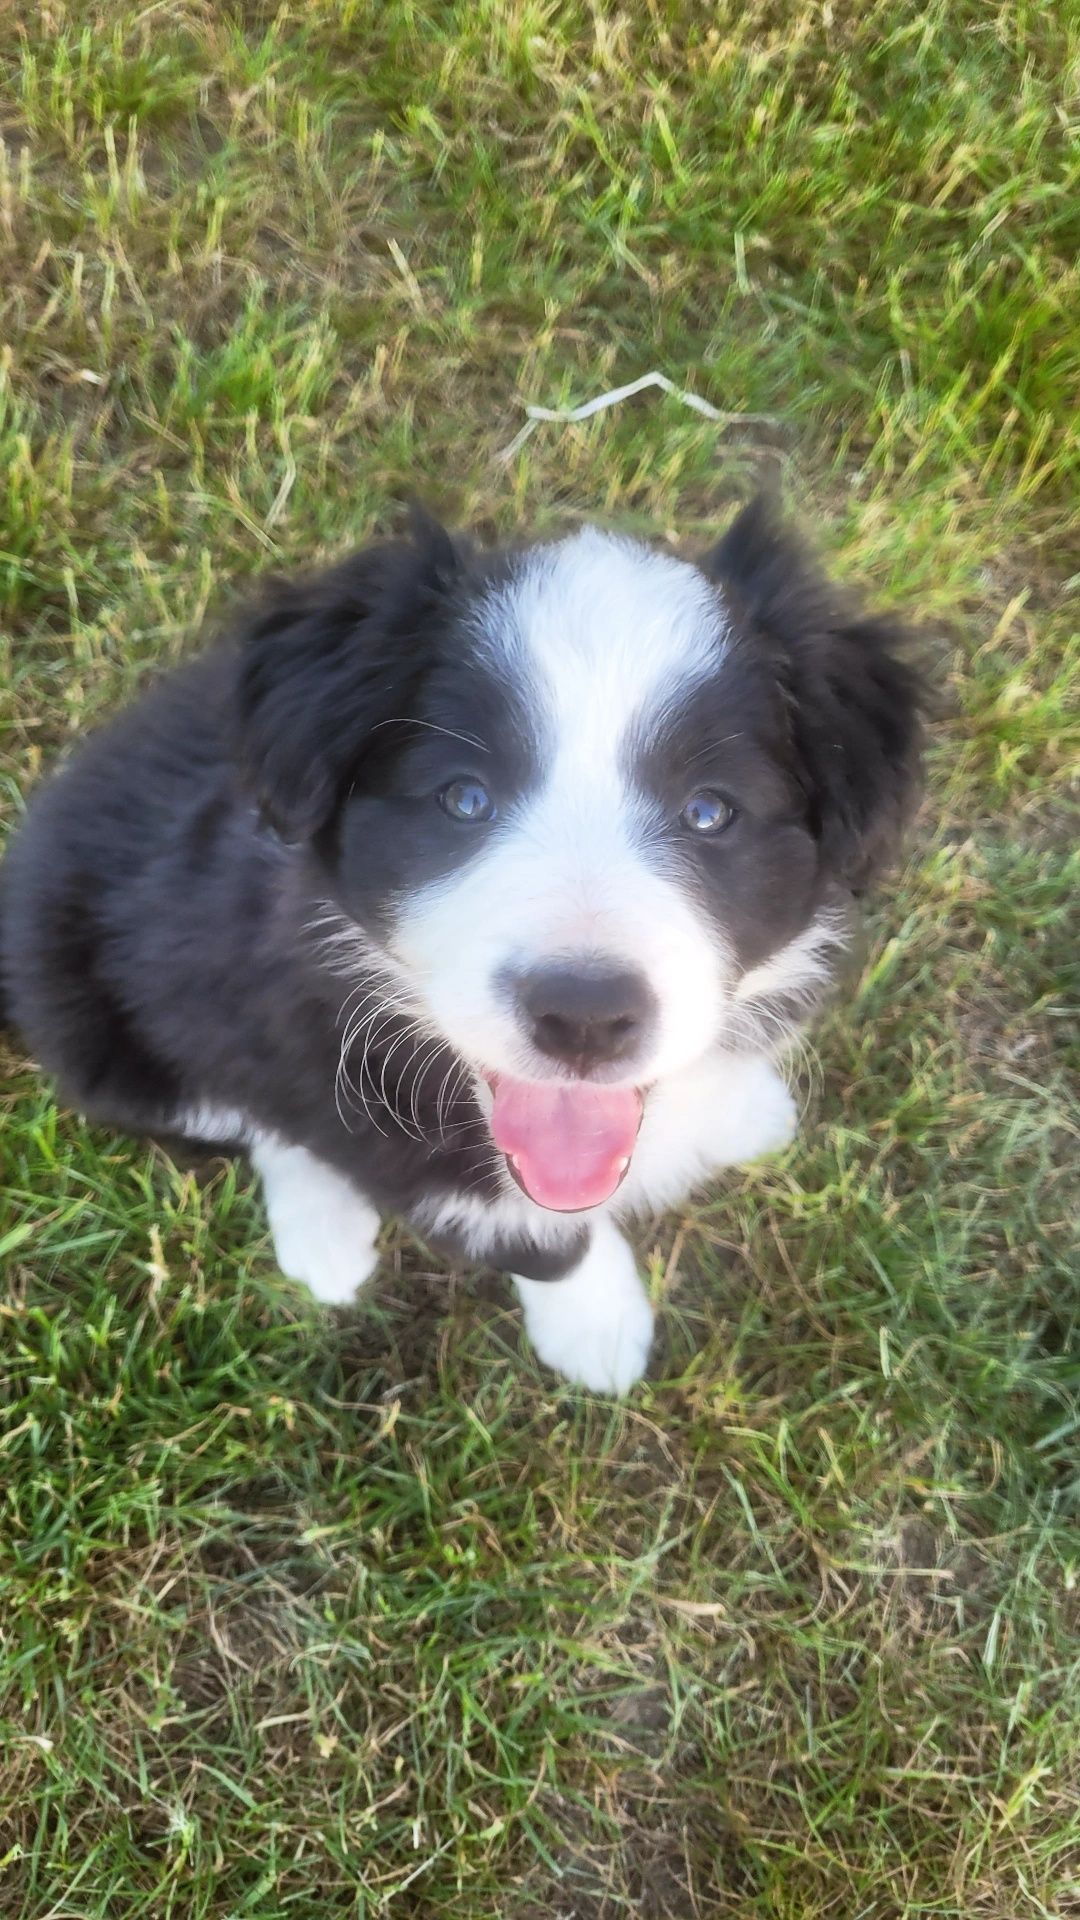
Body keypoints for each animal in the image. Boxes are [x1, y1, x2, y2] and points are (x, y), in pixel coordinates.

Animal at [4, 503, 922, 1390]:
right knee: (252, 1119)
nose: (585, 1017)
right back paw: (323, 1236)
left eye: (709, 811)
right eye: (464, 799)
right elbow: (538, 1233)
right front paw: (596, 1326)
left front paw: (736, 1103)